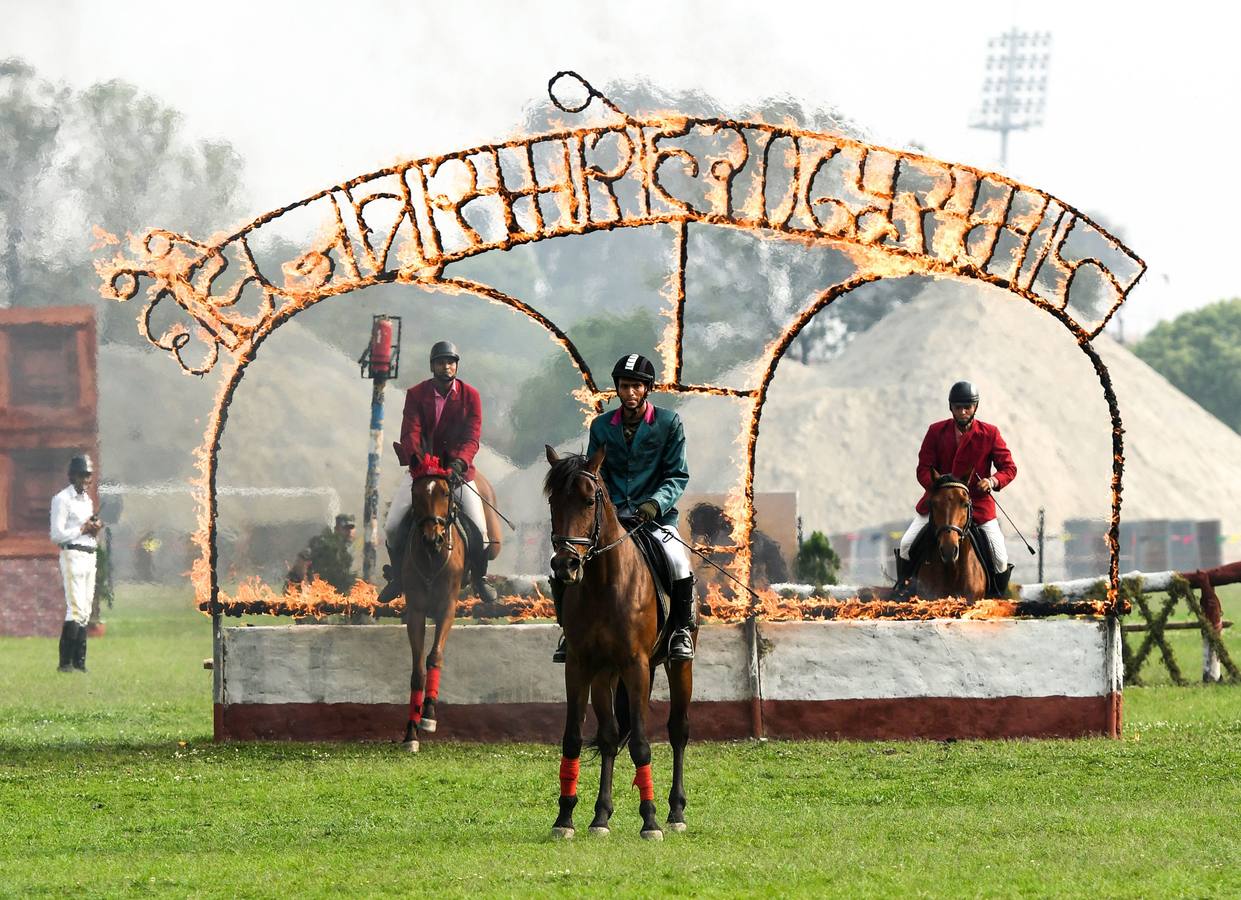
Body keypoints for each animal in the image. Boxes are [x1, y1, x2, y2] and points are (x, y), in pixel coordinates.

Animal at [546, 446, 699, 839]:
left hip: (678, 666)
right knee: (611, 736)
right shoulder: (579, 665)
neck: (602, 582)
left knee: (678, 730)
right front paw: (564, 818)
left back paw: (675, 812)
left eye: (589, 501)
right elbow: (574, 737)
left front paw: (650, 821)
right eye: (553, 501)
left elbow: (643, 744)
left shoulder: (636, 665)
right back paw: (601, 816)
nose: (565, 565)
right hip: (605, 675)